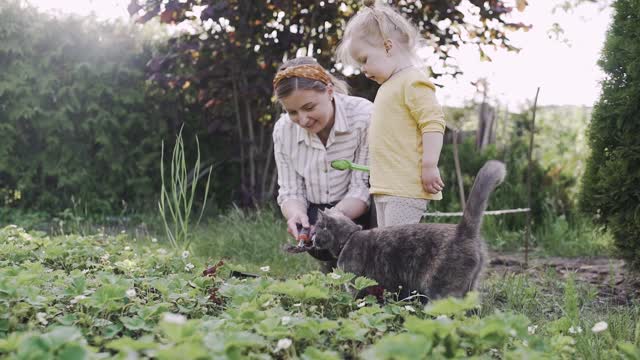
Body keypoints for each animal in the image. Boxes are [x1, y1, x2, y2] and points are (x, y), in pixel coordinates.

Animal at [312, 160, 508, 300]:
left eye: (315, 230)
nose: (311, 239)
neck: (348, 238)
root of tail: (463, 230)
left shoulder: (355, 283)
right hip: (470, 286)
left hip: (440, 288)